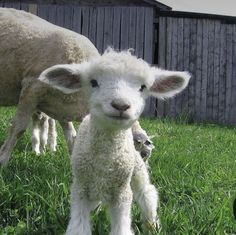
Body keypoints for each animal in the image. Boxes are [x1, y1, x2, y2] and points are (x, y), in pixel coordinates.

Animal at [38, 48, 190, 234]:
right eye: (93, 82)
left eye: (143, 87)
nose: (121, 105)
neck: (105, 162)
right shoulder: (80, 188)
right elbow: (79, 226)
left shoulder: (122, 193)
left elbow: (122, 225)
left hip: (136, 169)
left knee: (146, 193)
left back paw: (152, 224)